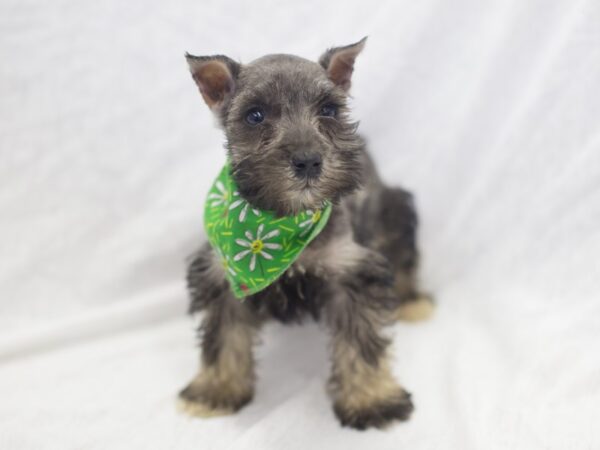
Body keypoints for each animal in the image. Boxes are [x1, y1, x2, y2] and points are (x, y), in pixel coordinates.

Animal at [176, 38, 434, 428]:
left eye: (328, 110)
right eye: (255, 115)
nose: (309, 160)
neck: (276, 227)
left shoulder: (350, 272)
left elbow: (361, 342)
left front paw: (372, 399)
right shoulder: (222, 276)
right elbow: (224, 336)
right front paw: (216, 390)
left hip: (393, 211)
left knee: (401, 254)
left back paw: (412, 300)